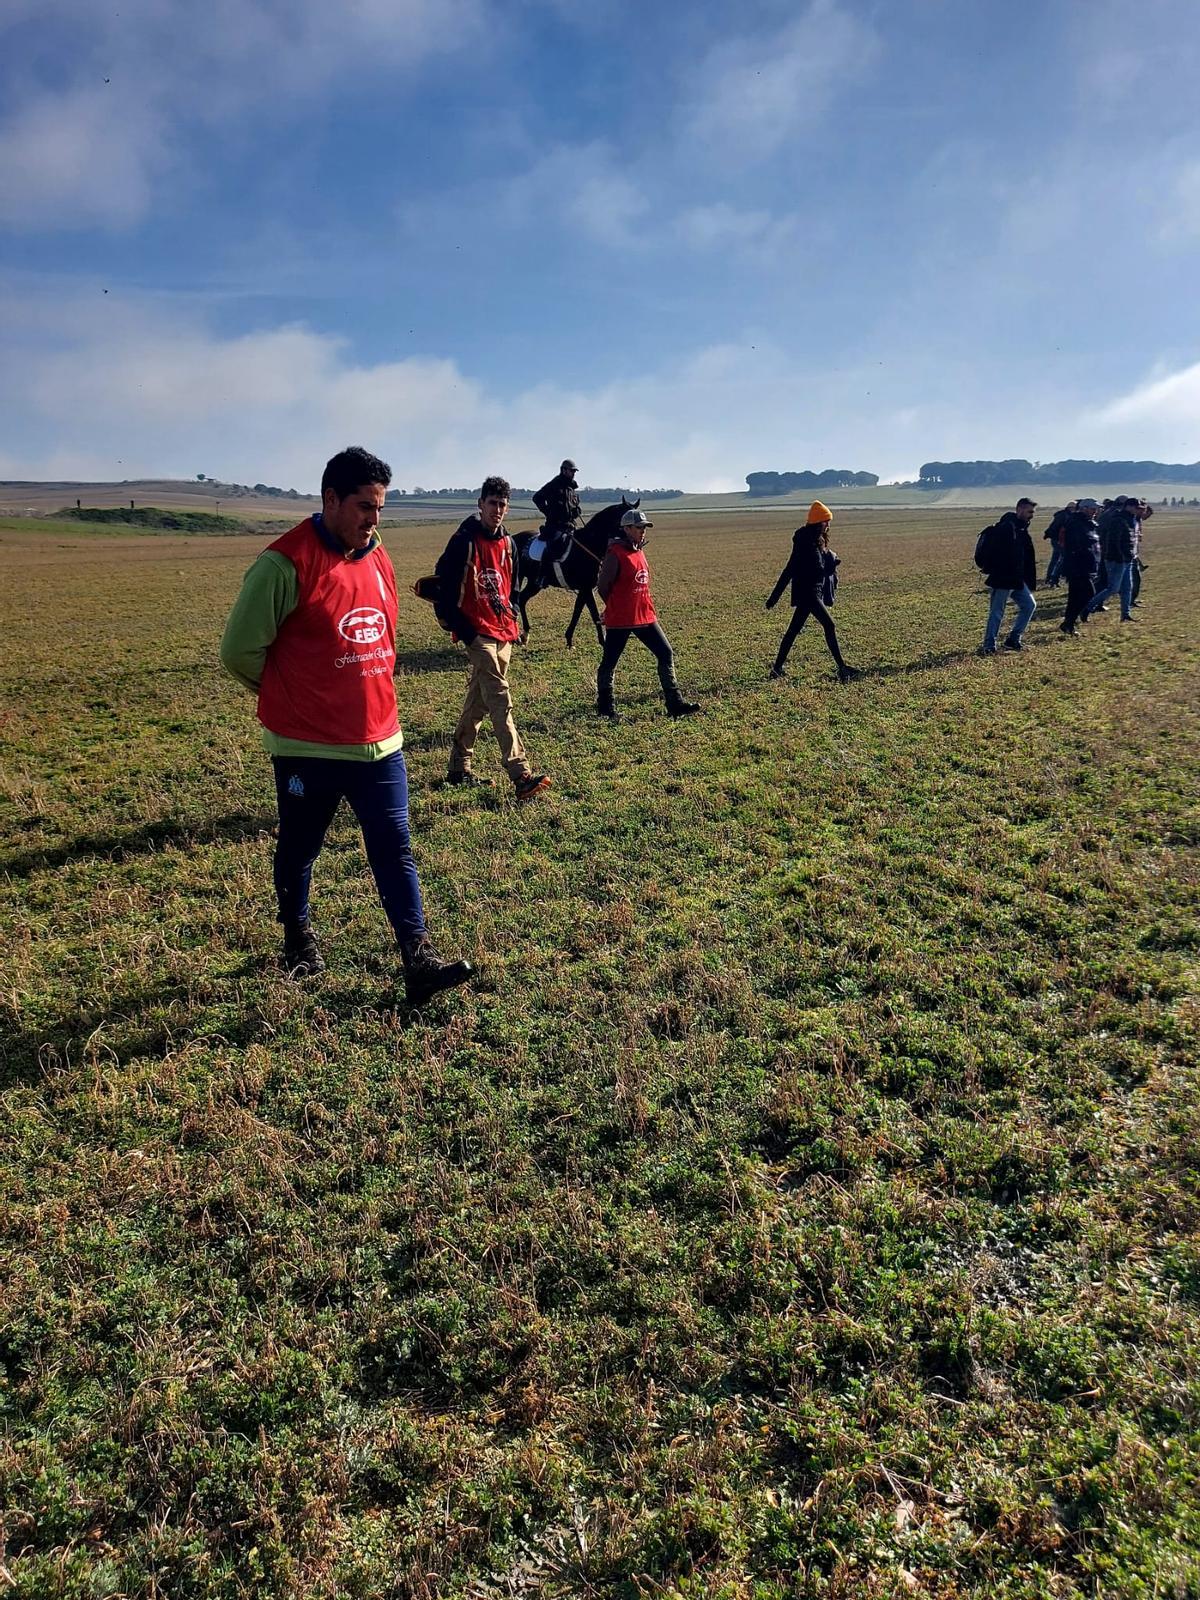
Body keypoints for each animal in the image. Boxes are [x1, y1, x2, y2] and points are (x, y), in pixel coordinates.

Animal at [512, 499, 640, 649]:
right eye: (627, 518)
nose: (637, 544)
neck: (589, 544)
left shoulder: (585, 589)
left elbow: (577, 611)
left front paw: (569, 640)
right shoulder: (586, 589)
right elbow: (594, 613)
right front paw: (603, 641)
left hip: (533, 584)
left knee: (522, 599)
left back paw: (525, 635)